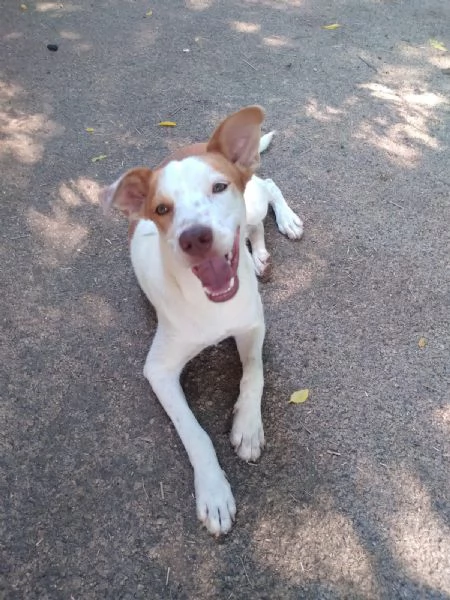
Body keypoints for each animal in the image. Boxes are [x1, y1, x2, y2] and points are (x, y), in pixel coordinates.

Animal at [100, 106, 304, 536]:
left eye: (219, 187)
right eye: (161, 209)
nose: (195, 237)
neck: (213, 305)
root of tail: (194, 142)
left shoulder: (253, 327)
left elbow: (254, 374)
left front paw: (248, 427)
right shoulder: (158, 370)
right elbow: (194, 432)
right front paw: (213, 492)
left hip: (254, 196)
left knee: (268, 188)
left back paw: (287, 222)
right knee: (255, 226)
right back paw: (260, 256)